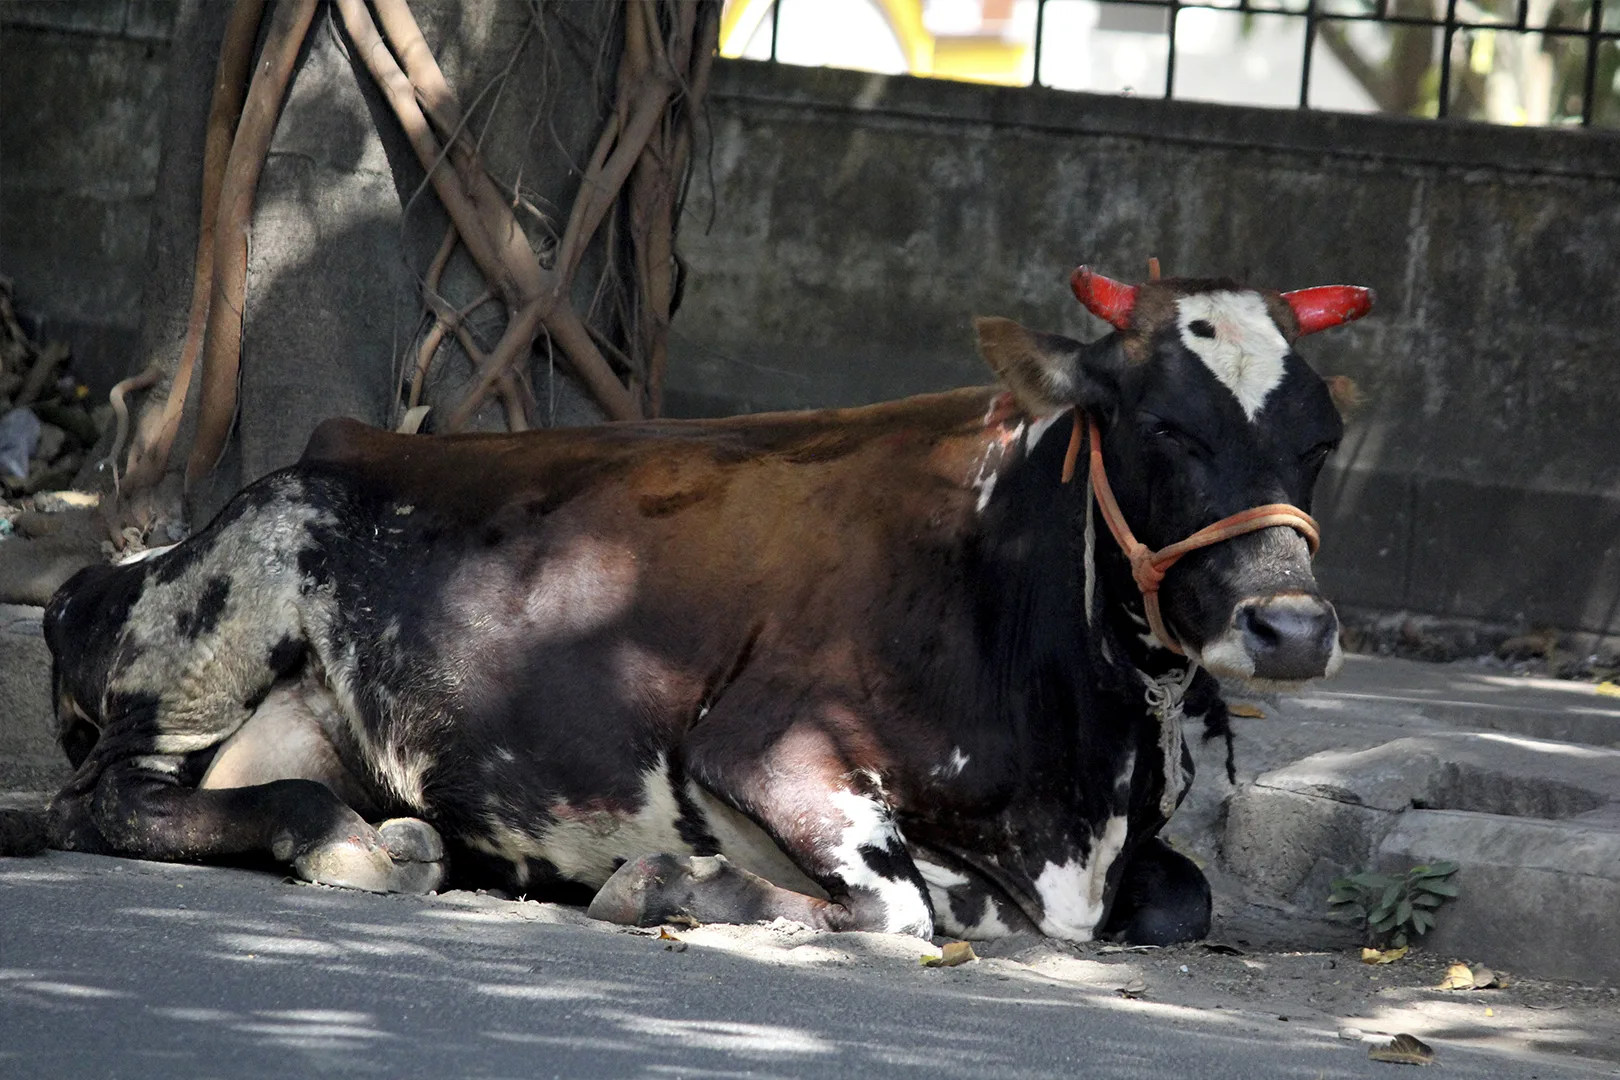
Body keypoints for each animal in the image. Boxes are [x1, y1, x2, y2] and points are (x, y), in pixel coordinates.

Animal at [19, 268, 1373, 945]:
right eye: (1162, 426)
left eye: (1322, 441)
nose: (1292, 630)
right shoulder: (766, 746)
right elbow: (906, 905)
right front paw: (667, 886)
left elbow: (1184, 898)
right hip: (222, 617)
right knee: (102, 804)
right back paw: (348, 841)